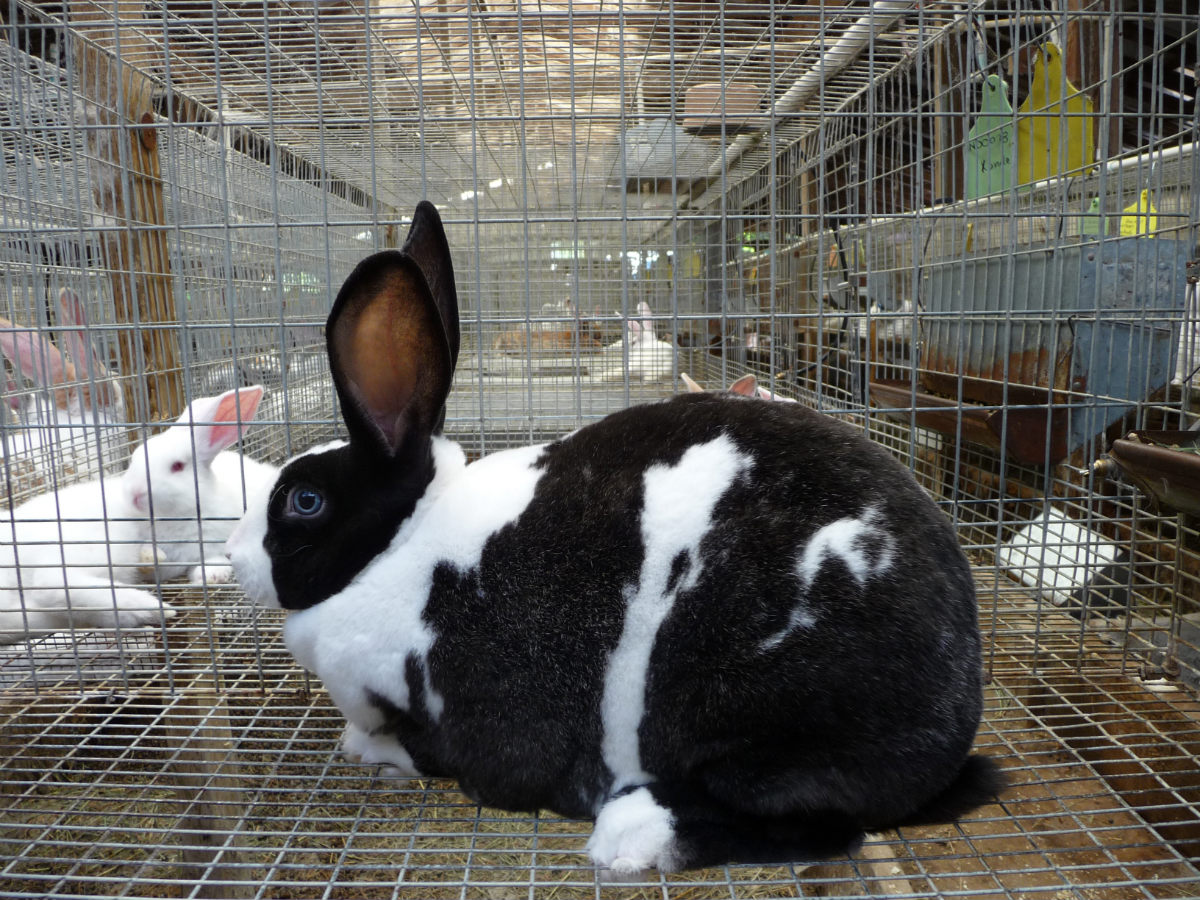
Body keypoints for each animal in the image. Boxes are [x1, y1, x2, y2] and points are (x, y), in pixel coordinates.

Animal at [1, 386, 273, 643]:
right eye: (134, 458)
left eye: (177, 466)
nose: (134, 492)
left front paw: (210, 575)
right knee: (51, 582)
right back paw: (148, 609)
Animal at [226, 201, 1005, 878]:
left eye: (303, 501)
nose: (232, 556)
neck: (401, 545)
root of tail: (956, 717)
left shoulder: (475, 722)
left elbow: (428, 752)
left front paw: (366, 749)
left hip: (766, 711)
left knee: (821, 820)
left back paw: (631, 835)